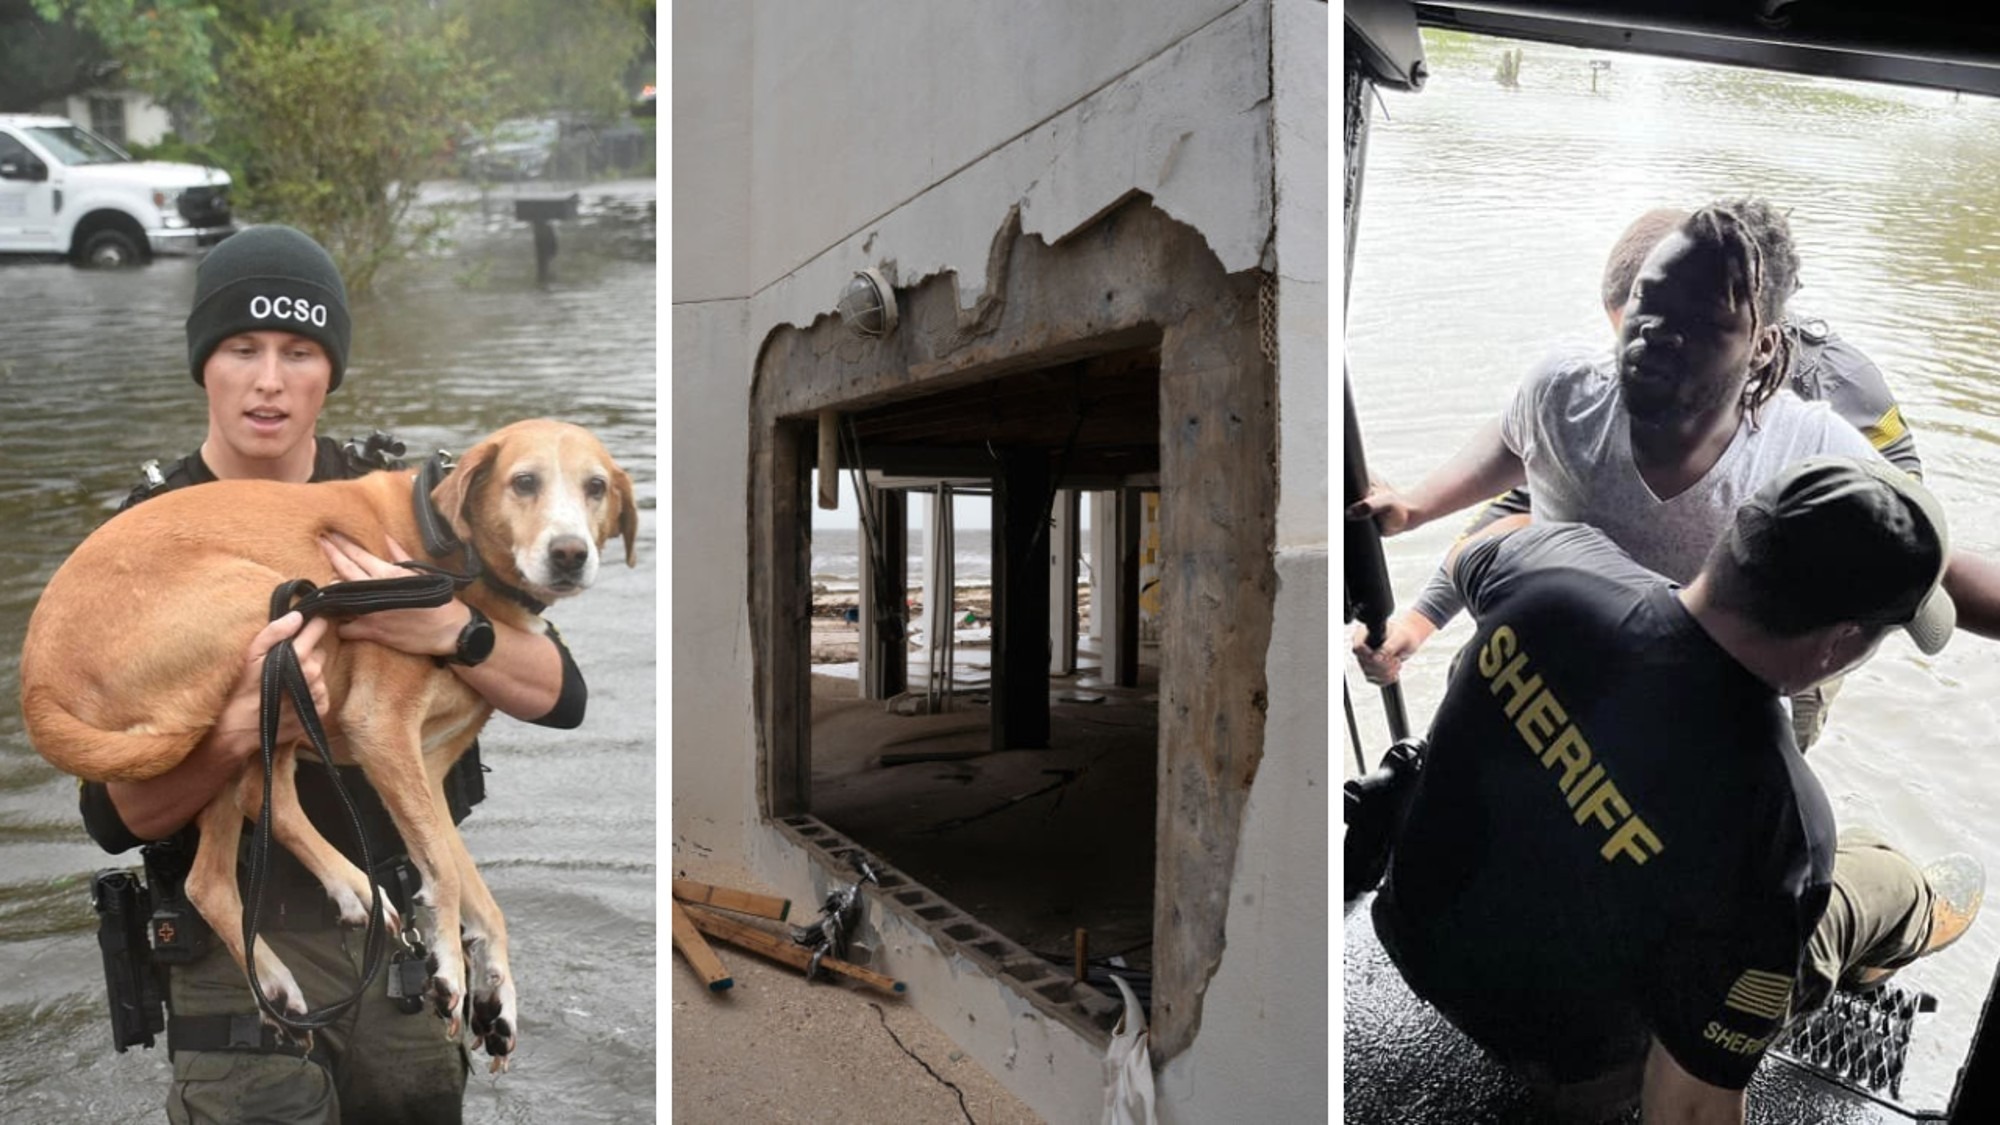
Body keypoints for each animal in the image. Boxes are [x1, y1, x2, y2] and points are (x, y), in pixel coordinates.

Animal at [19, 418, 636, 1056]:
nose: (570, 553)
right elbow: (442, 868)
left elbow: (477, 894)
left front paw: (497, 993)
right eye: (523, 482)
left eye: (596, 487)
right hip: (274, 629)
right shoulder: (381, 728)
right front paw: (448, 968)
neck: (448, 548)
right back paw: (351, 888)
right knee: (258, 801)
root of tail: (38, 679)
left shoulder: (427, 770)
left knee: (211, 876)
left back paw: (285, 974)